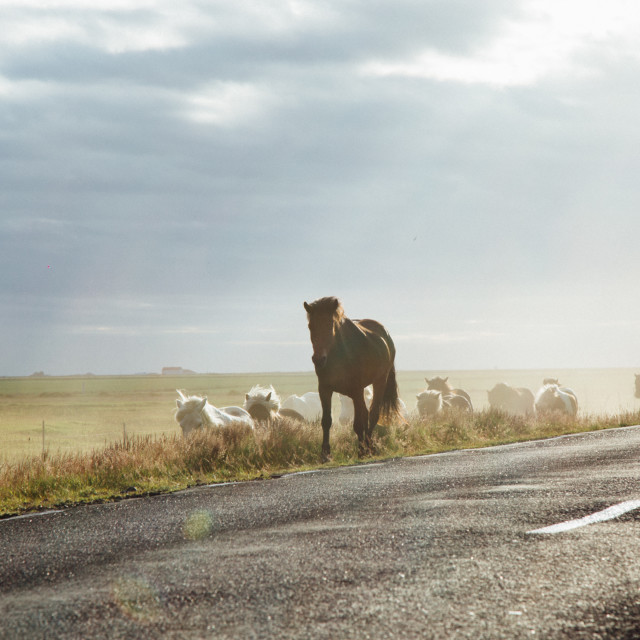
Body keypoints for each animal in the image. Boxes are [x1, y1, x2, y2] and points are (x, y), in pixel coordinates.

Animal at [304, 298, 400, 458]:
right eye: (310, 326)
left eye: (330, 325)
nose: (318, 359)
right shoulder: (324, 389)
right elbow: (326, 421)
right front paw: (325, 453)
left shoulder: (356, 389)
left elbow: (358, 423)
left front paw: (361, 450)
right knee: (366, 414)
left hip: (379, 381)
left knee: (372, 414)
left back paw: (369, 446)